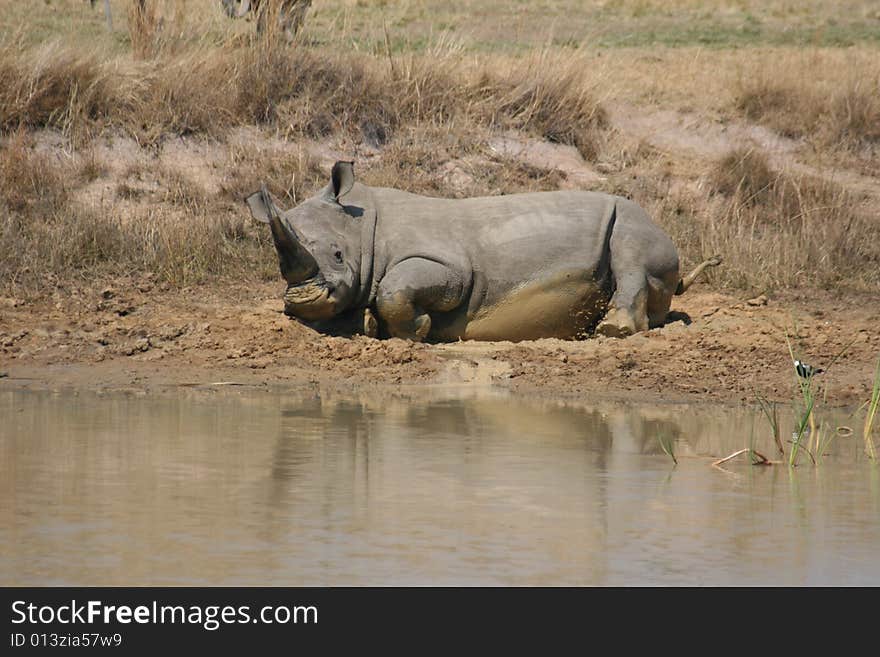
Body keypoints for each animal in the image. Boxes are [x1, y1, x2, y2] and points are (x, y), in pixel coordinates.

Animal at [244, 161, 720, 340]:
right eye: (279, 263)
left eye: (339, 255)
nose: (303, 301)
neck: (362, 224)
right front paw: (363, 324)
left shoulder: (451, 267)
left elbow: (395, 288)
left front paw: (416, 331)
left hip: (637, 219)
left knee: (630, 251)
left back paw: (612, 331)